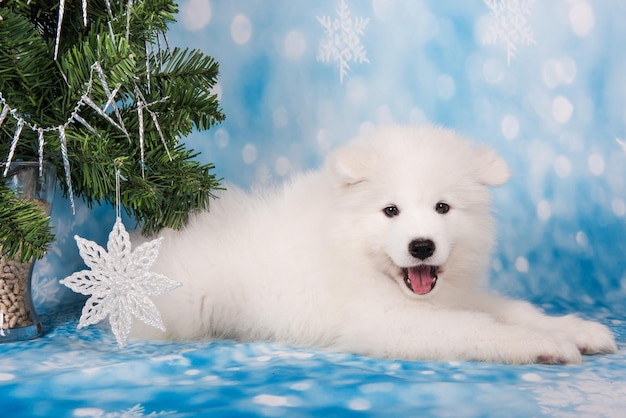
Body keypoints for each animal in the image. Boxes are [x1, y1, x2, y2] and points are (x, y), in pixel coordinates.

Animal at [134, 125, 616, 364]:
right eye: (391, 211)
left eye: (443, 207)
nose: (421, 247)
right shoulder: (388, 323)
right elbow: (478, 328)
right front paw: (544, 343)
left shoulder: (455, 293)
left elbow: (513, 309)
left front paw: (576, 329)